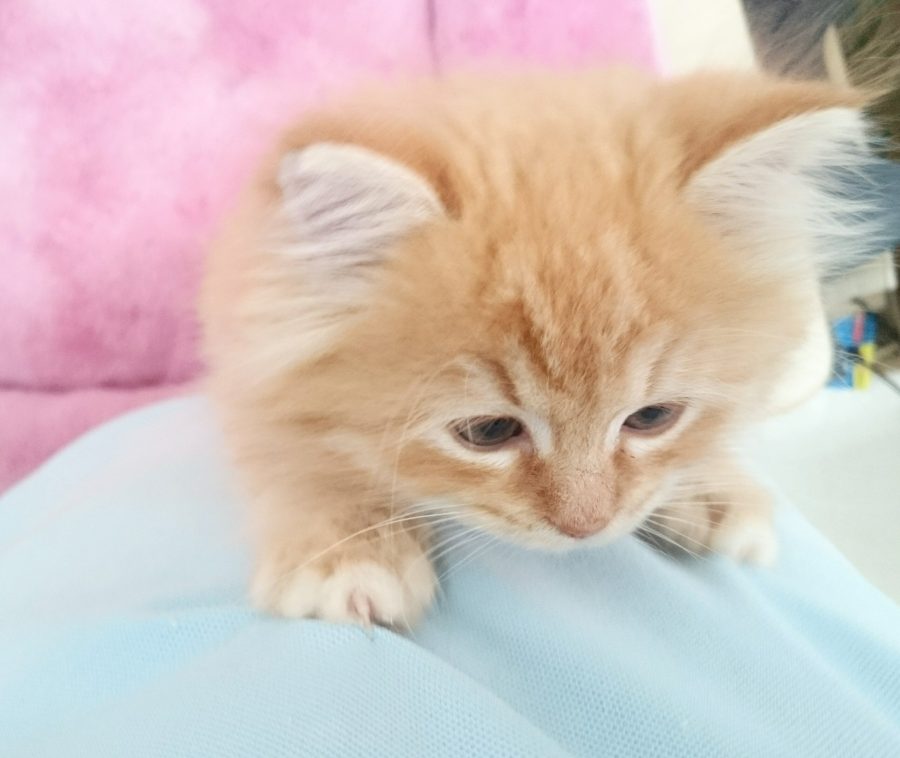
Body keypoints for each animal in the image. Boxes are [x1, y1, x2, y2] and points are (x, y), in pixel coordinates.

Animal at [201, 68, 875, 627]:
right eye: (488, 432)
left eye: (653, 417)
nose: (586, 527)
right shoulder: (247, 369)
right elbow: (298, 456)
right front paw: (347, 548)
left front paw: (711, 486)